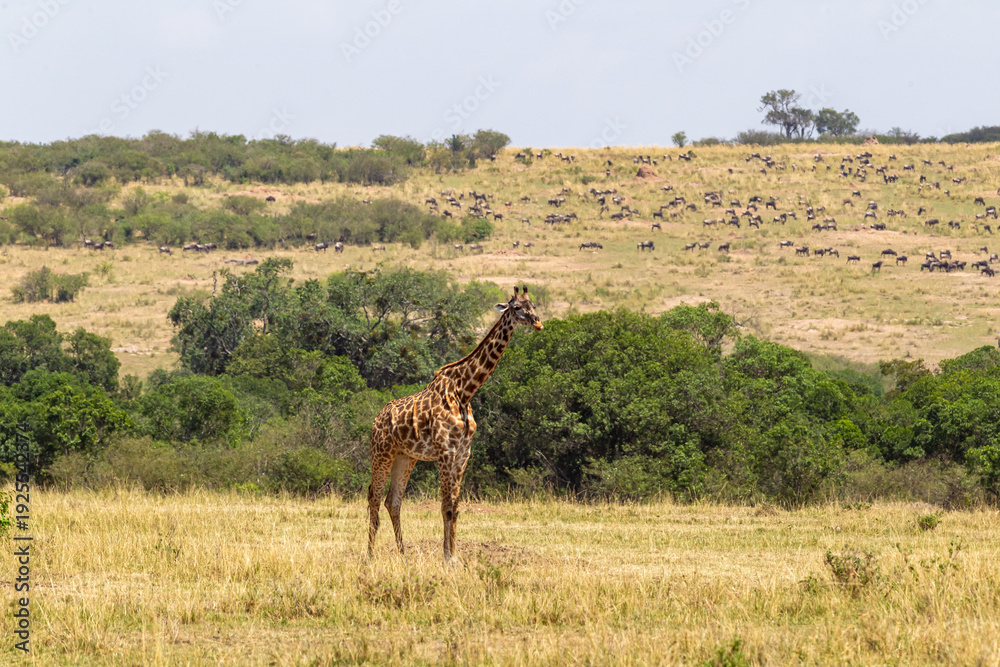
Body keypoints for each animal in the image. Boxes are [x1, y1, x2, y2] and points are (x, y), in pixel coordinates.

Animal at [367, 285, 543, 561]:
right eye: (516, 307)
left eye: (533, 305)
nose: (538, 323)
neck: (464, 391)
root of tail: (376, 419)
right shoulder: (445, 451)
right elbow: (446, 507)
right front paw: (447, 558)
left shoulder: (463, 453)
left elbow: (456, 507)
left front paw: (455, 556)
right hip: (382, 453)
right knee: (373, 498)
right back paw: (370, 556)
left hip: (405, 457)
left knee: (392, 501)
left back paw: (403, 555)